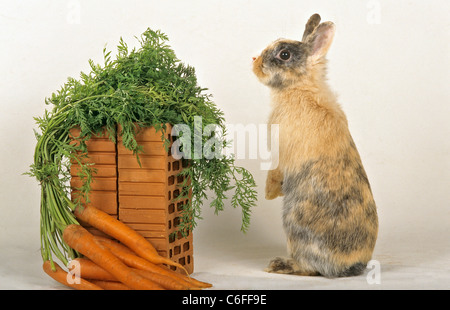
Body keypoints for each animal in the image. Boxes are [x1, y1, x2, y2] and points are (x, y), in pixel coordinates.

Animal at [251, 13, 378, 278]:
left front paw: (269, 193)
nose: (255, 62)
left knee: (309, 268)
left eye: (284, 55)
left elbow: (274, 173)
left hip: (295, 223)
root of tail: (349, 265)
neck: (299, 88)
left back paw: (278, 265)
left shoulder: (281, 153)